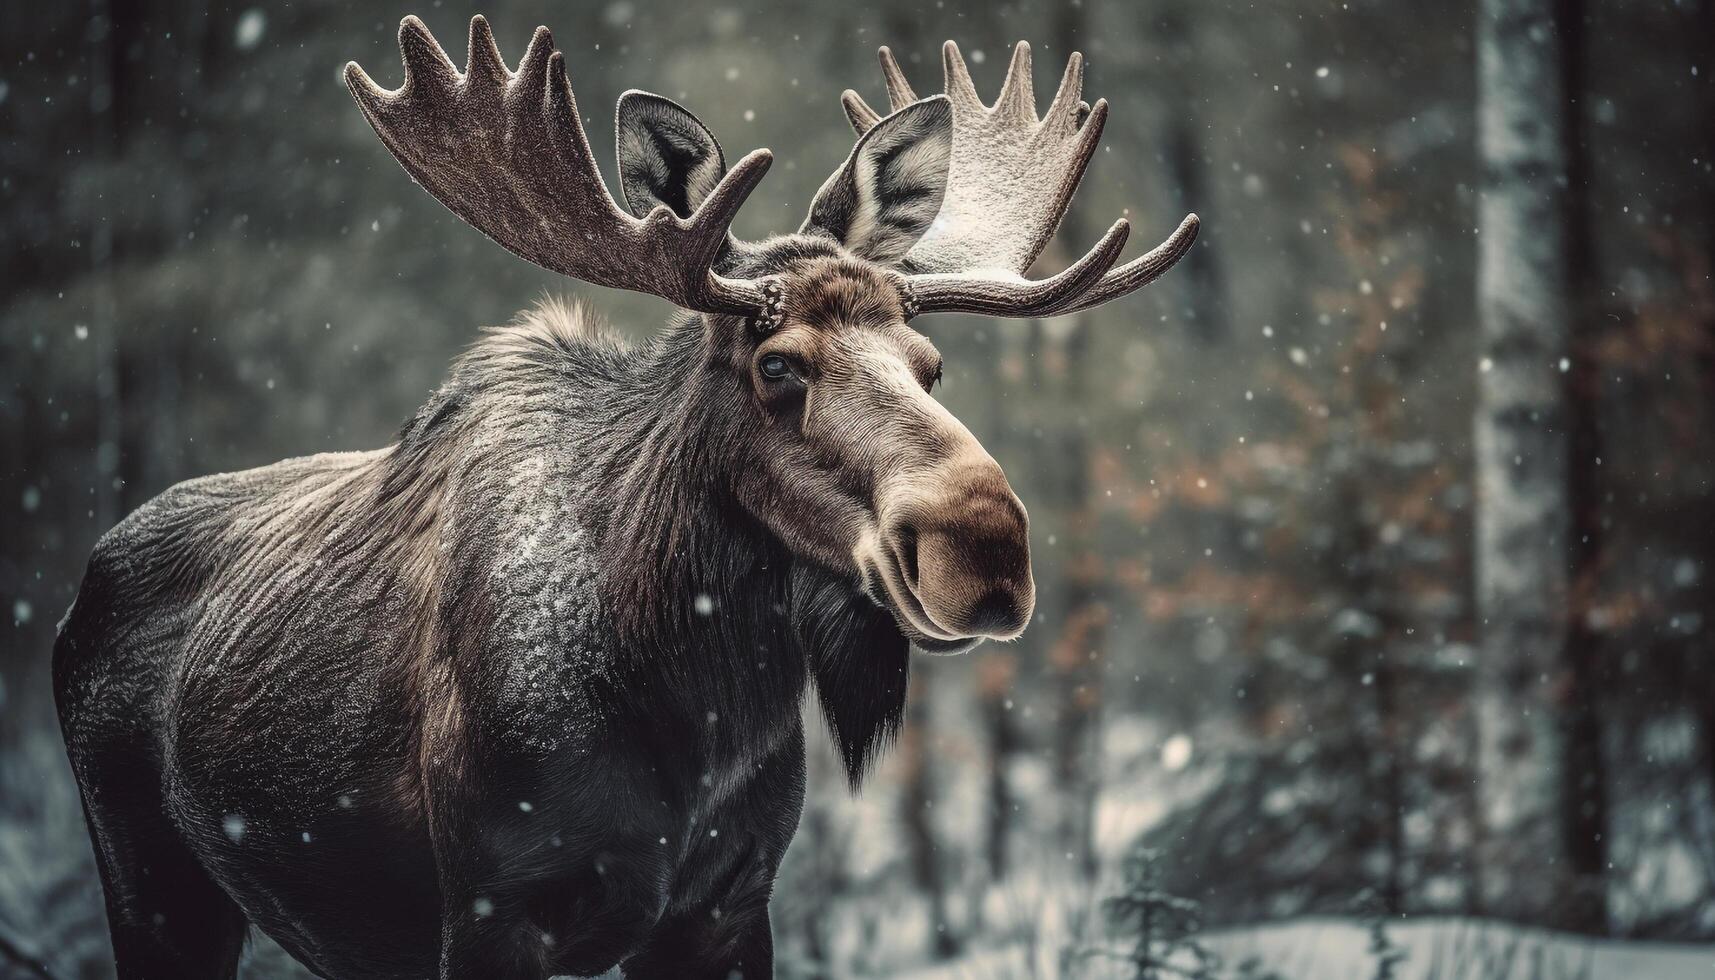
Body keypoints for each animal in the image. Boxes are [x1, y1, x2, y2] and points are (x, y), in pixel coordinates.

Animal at [53, 15, 1193, 980]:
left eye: (930, 364)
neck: (690, 703)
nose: (983, 546)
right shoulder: (491, 911)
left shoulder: (728, 906)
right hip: (153, 884)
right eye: (777, 363)